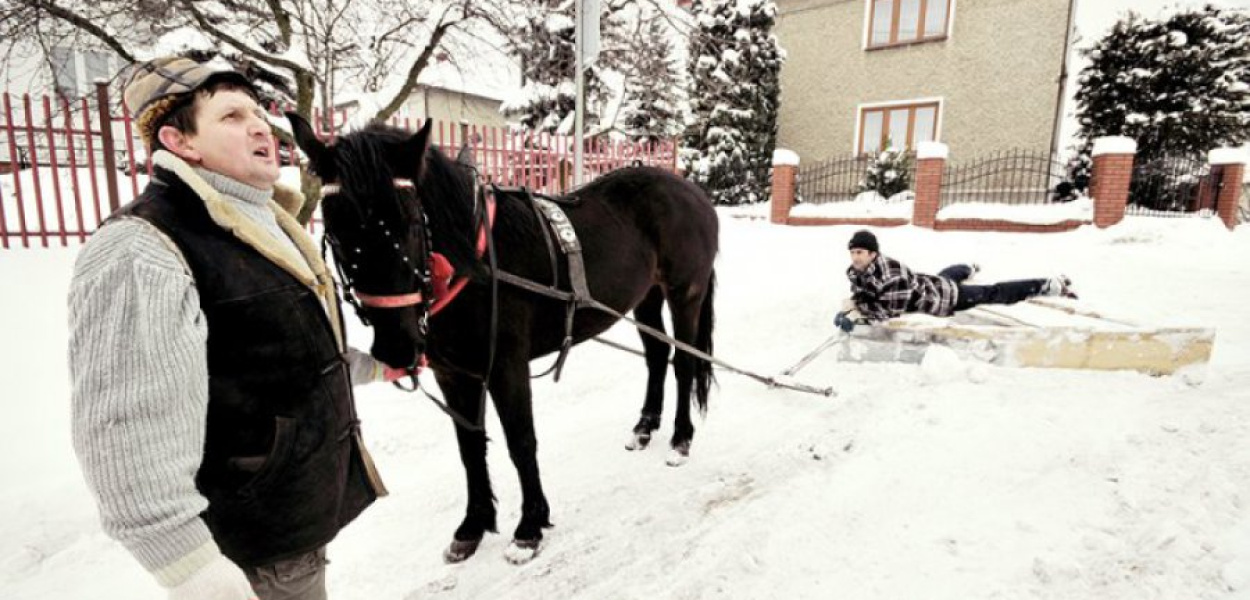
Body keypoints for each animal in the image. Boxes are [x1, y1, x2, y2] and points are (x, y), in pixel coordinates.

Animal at [288, 116, 720, 562]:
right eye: (336, 233)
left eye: (408, 222)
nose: (398, 347)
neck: (476, 263)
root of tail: (693, 191)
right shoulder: (454, 374)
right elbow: (470, 446)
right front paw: (473, 524)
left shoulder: (506, 366)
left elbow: (520, 441)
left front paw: (529, 526)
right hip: (646, 298)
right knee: (657, 355)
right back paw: (644, 426)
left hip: (685, 294)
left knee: (684, 362)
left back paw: (680, 439)